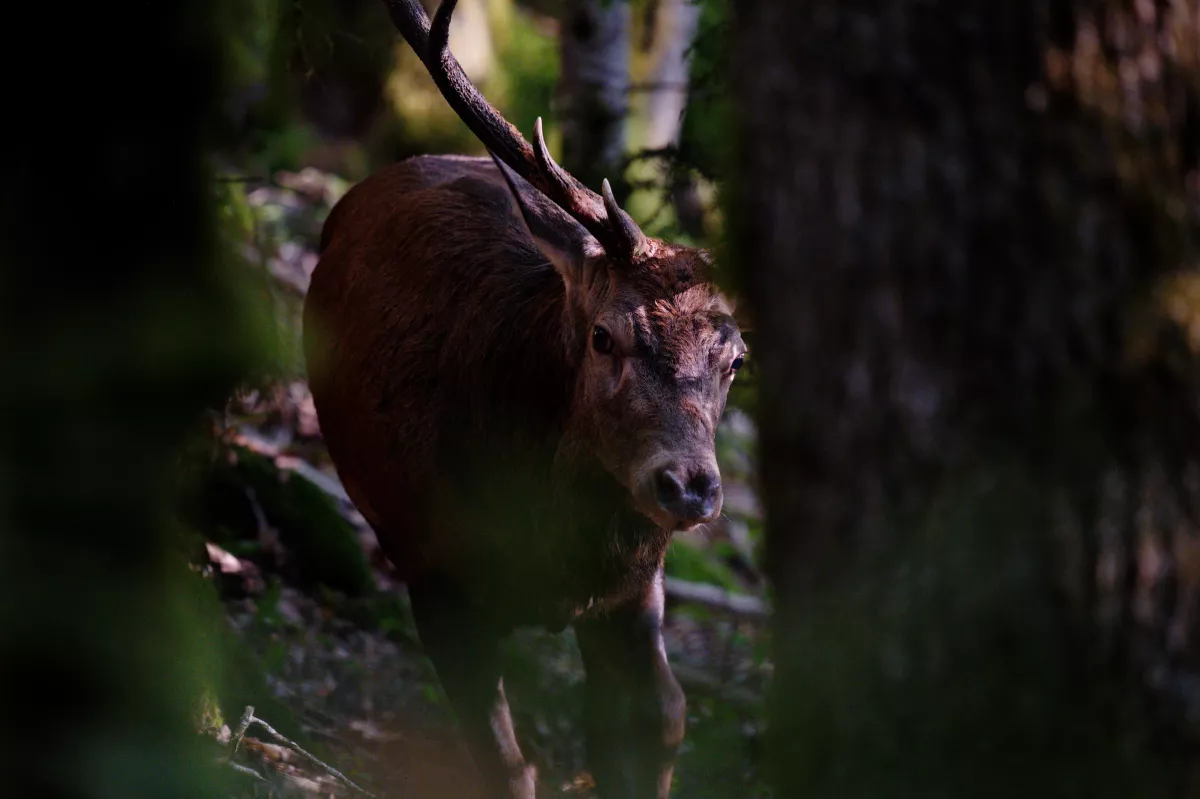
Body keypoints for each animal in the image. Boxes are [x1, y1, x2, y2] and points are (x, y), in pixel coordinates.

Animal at [302, 1, 747, 796]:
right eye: (604, 336)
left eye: (736, 358)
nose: (690, 486)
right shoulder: (434, 573)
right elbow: (503, 760)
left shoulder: (636, 588)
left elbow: (661, 717)